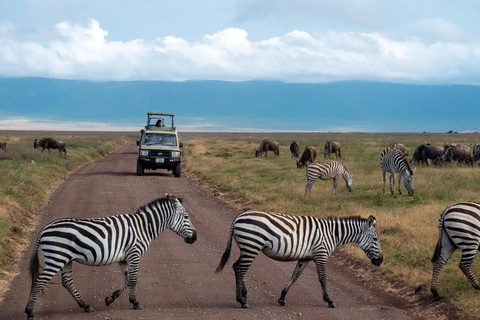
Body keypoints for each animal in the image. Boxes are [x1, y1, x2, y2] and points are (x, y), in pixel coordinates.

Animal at [23, 194, 197, 320]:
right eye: (186, 217)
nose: (195, 238)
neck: (143, 227)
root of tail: (44, 229)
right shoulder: (134, 253)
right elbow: (133, 279)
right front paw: (135, 302)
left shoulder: (124, 258)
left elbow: (128, 279)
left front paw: (111, 298)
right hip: (56, 258)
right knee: (39, 281)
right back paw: (29, 312)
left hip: (66, 260)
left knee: (67, 282)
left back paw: (85, 305)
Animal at [214, 211, 382, 308]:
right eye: (375, 239)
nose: (380, 261)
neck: (332, 234)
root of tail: (237, 218)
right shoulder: (321, 255)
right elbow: (323, 279)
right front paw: (329, 300)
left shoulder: (305, 258)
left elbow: (295, 276)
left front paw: (282, 297)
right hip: (252, 246)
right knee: (240, 268)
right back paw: (241, 301)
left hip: (247, 247)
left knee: (236, 267)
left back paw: (244, 294)